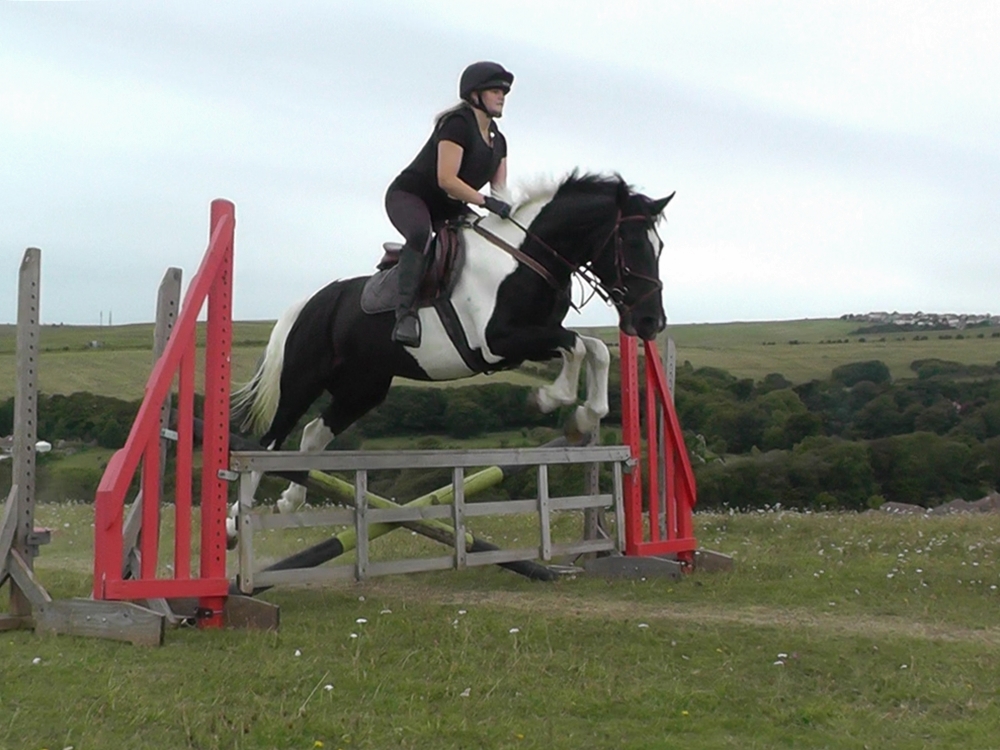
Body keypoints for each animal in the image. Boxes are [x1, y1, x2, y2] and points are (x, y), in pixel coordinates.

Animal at [227, 172, 674, 542]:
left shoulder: (532, 337)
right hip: (303, 379)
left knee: (312, 434)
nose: (651, 322)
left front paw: (587, 414)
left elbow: (593, 348)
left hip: (363, 387)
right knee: (270, 443)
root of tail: (312, 303)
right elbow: (577, 345)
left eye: (660, 247)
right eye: (630, 244)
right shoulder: (500, 341)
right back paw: (234, 523)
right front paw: (550, 399)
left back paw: (290, 500)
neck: (527, 259)